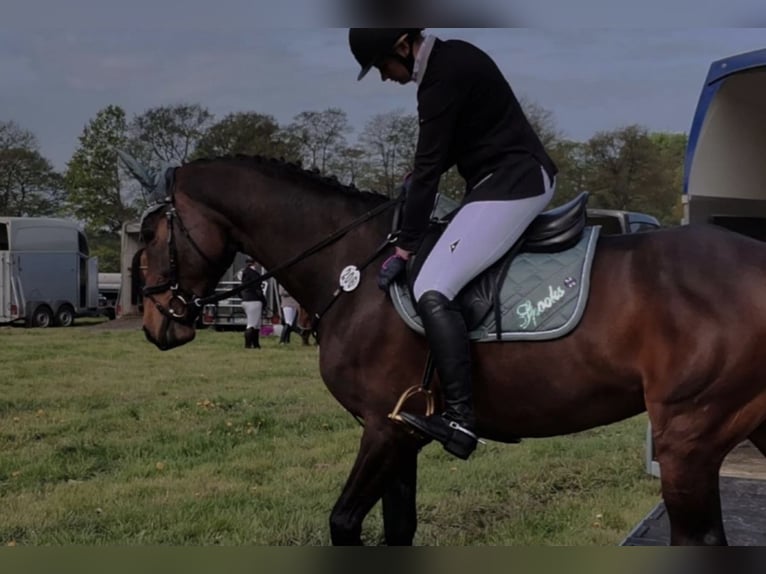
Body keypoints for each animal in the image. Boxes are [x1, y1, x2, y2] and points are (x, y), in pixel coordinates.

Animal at [138, 154, 766, 546]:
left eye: (149, 235)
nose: (153, 323)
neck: (355, 270)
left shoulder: (384, 429)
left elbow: (344, 523)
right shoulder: (401, 436)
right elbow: (400, 529)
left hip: (688, 441)